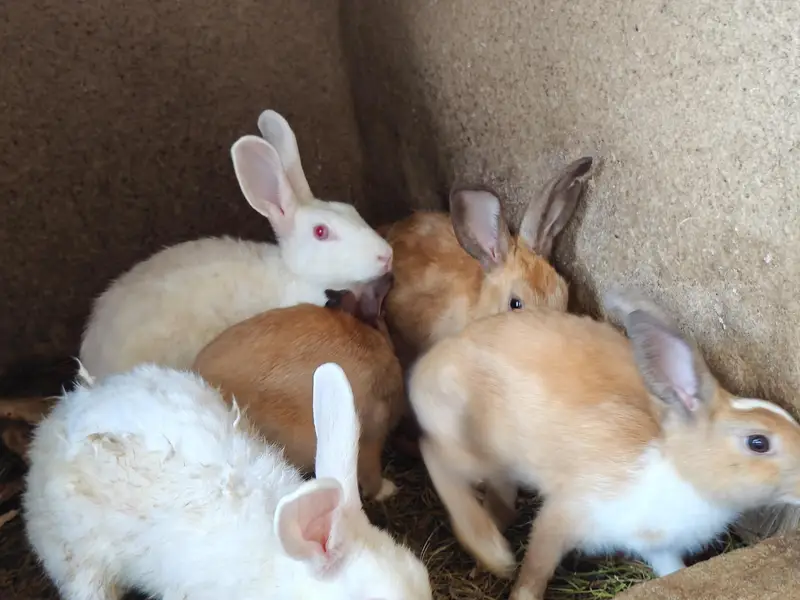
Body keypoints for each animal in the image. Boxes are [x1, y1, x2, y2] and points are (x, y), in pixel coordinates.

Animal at [407, 287, 800, 600]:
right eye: (758, 442)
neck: (682, 474)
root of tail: (427, 365)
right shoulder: (565, 514)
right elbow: (535, 572)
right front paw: (519, 588)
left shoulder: (658, 548)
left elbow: (673, 571)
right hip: (472, 443)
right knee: (434, 455)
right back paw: (492, 551)